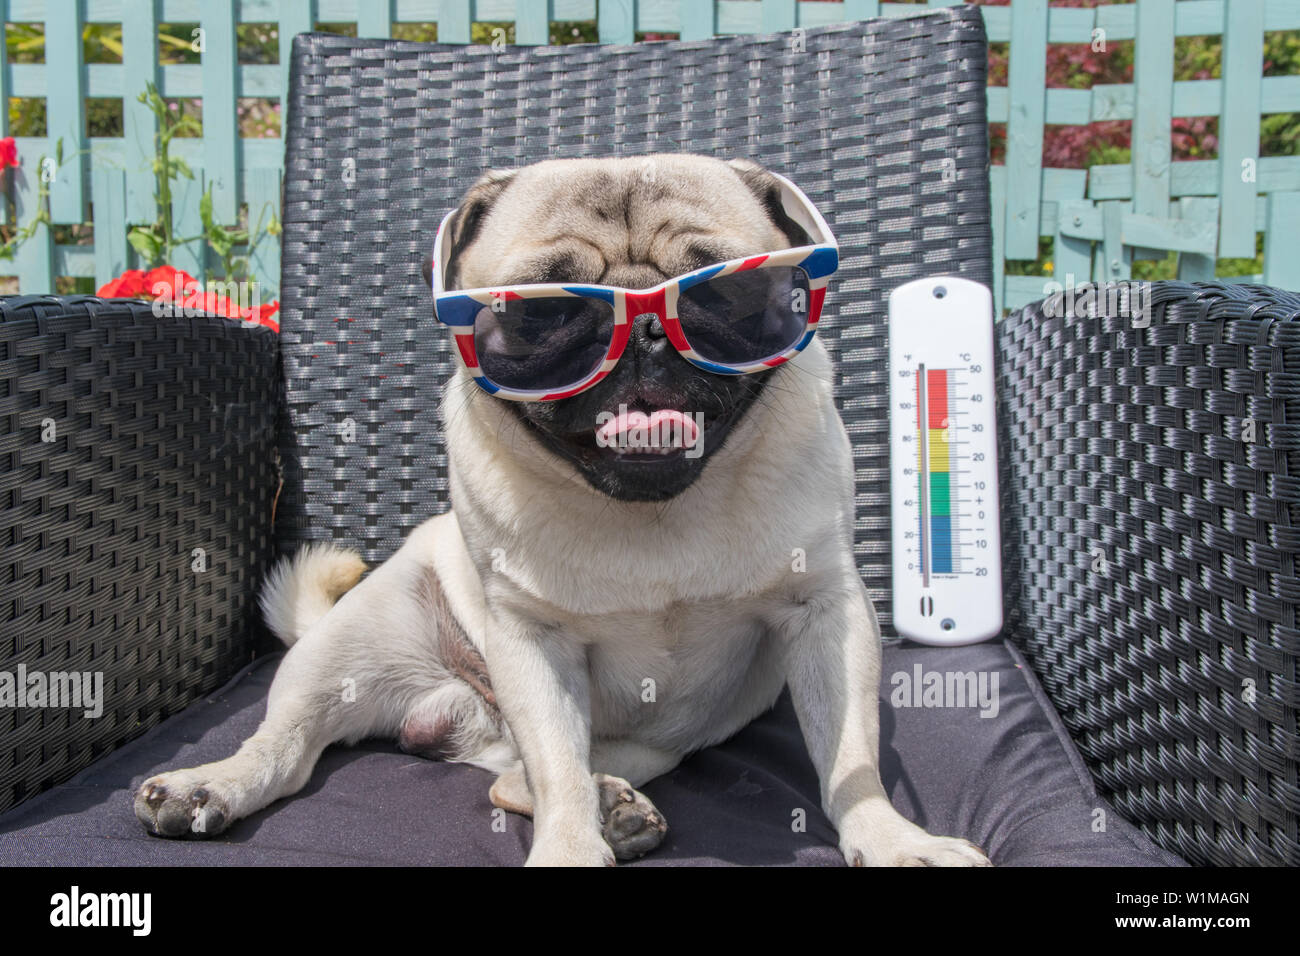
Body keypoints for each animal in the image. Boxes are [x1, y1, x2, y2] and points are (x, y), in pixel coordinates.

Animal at [131, 155, 987, 868]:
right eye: (540, 316)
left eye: (727, 294)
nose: (646, 329)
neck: (655, 513)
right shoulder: (532, 642)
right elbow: (559, 777)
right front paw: (574, 848)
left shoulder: (826, 615)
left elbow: (850, 760)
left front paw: (891, 840)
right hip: (345, 650)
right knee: (293, 747)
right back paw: (208, 788)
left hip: (659, 744)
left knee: (519, 780)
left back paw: (621, 810)